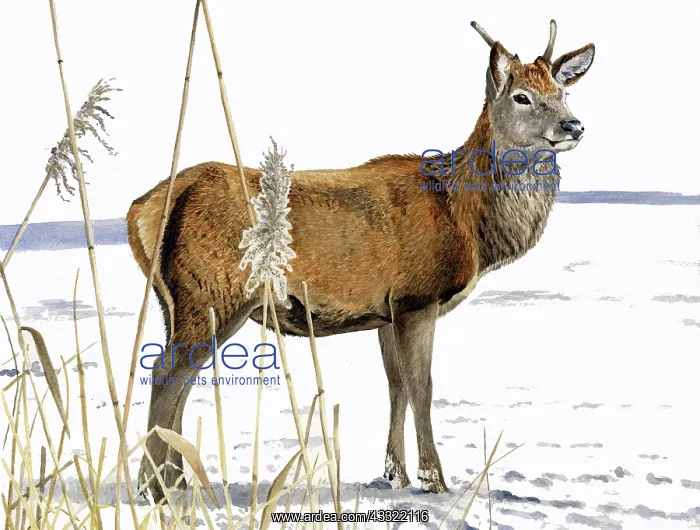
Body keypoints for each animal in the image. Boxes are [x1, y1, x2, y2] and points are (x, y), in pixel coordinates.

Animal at [127, 20, 594, 499]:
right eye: (521, 96)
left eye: (563, 91)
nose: (573, 125)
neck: (466, 222)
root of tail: (145, 209)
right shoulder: (416, 297)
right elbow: (422, 387)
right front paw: (435, 481)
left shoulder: (386, 311)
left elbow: (396, 386)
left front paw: (395, 475)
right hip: (212, 292)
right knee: (166, 373)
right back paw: (152, 488)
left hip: (177, 302)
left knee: (180, 375)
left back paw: (177, 481)